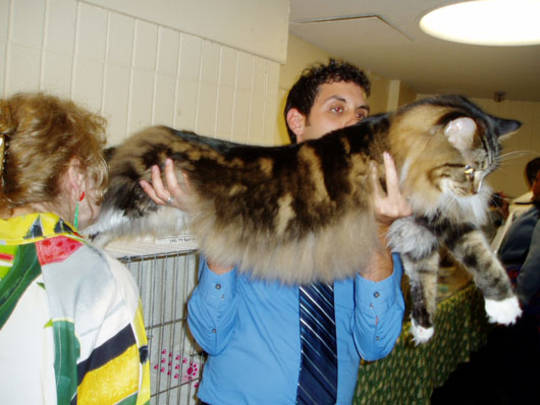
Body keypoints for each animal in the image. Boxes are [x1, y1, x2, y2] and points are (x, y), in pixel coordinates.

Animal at [84, 94, 522, 343]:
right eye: (470, 169)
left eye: (485, 171)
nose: (477, 191)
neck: (394, 144)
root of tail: (141, 140)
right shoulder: (433, 216)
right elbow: (479, 254)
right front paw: (505, 306)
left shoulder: (413, 232)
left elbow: (423, 280)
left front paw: (423, 328)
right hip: (135, 202)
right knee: (92, 220)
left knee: (100, 234)